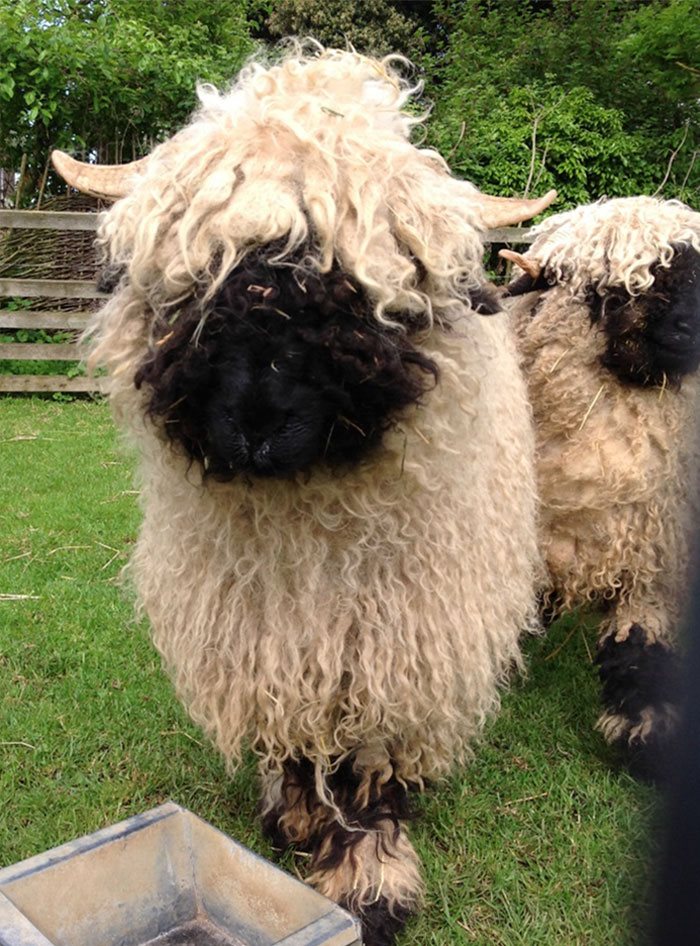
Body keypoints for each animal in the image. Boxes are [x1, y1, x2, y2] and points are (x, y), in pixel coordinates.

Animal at [52, 44, 553, 944]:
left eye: (361, 294)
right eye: (195, 285)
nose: (254, 426)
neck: (307, 528)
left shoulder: (395, 637)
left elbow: (368, 768)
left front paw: (369, 878)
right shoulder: (265, 633)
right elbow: (289, 738)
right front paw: (289, 815)